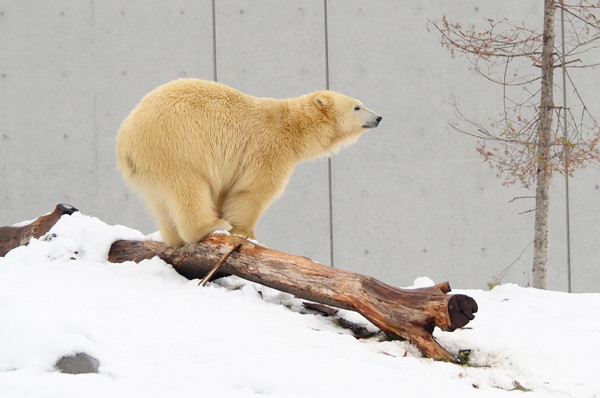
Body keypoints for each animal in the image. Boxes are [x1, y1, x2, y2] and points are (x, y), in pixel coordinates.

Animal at [116, 78, 380, 246]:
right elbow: (253, 190)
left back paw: (174, 239)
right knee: (187, 188)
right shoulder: (269, 147)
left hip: (148, 168)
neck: (293, 126)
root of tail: (127, 139)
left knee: (160, 202)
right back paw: (210, 225)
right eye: (357, 107)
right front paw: (249, 235)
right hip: (177, 147)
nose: (378, 117)